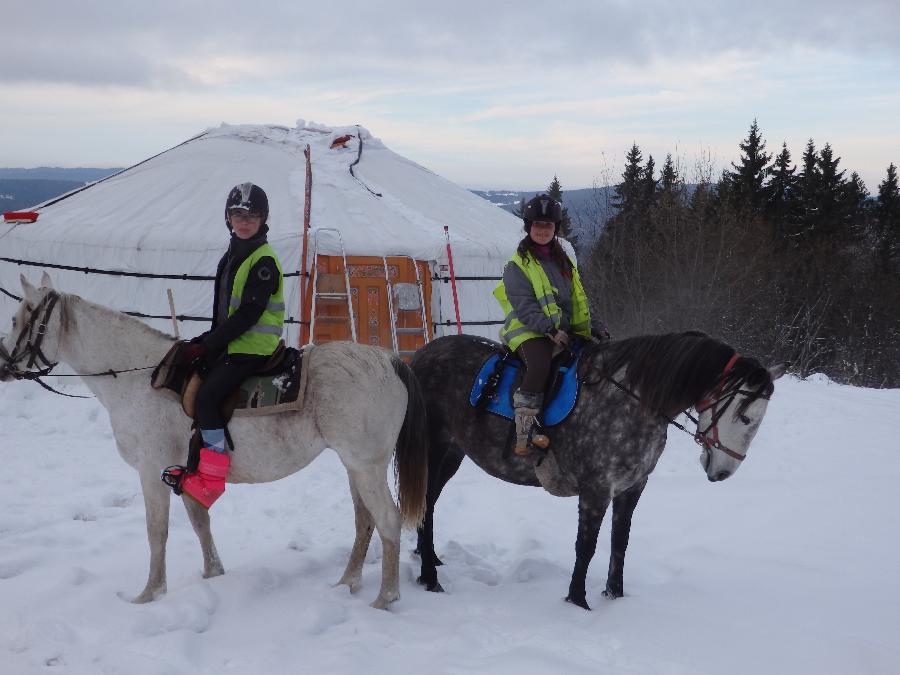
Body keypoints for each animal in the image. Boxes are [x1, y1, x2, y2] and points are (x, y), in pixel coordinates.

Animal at [0, 272, 428, 608]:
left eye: (18, 318)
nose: (3, 364)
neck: (139, 377)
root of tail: (390, 361)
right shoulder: (183, 471)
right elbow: (199, 521)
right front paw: (212, 574)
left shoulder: (150, 470)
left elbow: (157, 532)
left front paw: (149, 594)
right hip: (354, 466)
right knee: (364, 521)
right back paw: (347, 583)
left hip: (366, 466)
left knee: (387, 521)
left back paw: (385, 598)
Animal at [412, 332, 784, 608]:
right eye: (745, 417)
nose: (723, 472)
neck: (630, 401)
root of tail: (420, 356)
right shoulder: (596, 490)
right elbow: (586, 546)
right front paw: (577, 602)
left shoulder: (632, 488)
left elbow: (620, 542)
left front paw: (614, 597)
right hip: (432, 448)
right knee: (425, 505)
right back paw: (430, 577)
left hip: (452, 453)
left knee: (429, 504)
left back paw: (429, 559)